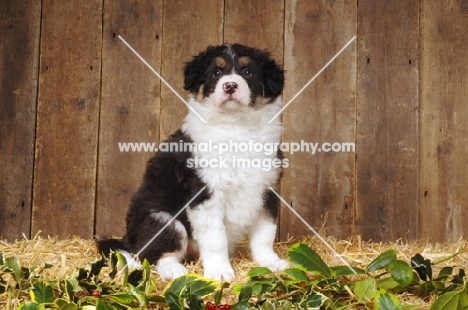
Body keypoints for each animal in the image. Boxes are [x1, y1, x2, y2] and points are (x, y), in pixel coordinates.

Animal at [97, 42, 288, 282]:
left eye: (247, 72)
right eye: (216, 73)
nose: (230, 86)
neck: (236, 126)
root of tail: (129, 240)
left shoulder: (267, 189)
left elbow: (265, 234)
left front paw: (271, 263)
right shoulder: (205, 193)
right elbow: (215, 239)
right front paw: (219, 272)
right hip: (162, 219)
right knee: (158, 255)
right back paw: (175, 271)